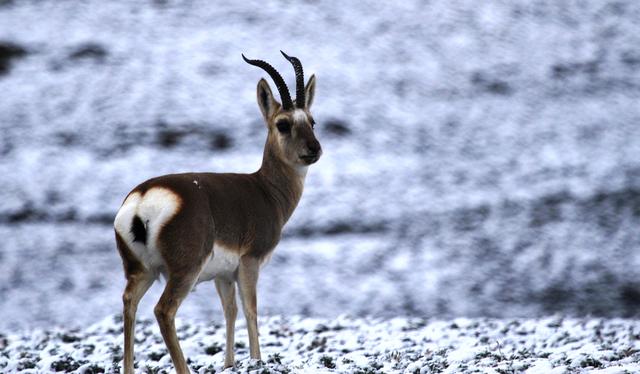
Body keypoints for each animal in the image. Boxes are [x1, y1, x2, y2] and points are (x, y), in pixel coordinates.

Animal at [113, 51, 322, 372]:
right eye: (283, 124)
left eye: (312, 121)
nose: (314, 149)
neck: (265, 190)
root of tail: (142, 199)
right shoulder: (250, 262)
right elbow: (250, 309)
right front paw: (256, 360)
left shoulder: (223, 275)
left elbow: (230, 310)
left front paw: (229, 363)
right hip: (184, 272)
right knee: (163, 310)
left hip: (142, 271)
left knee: (129, 303)